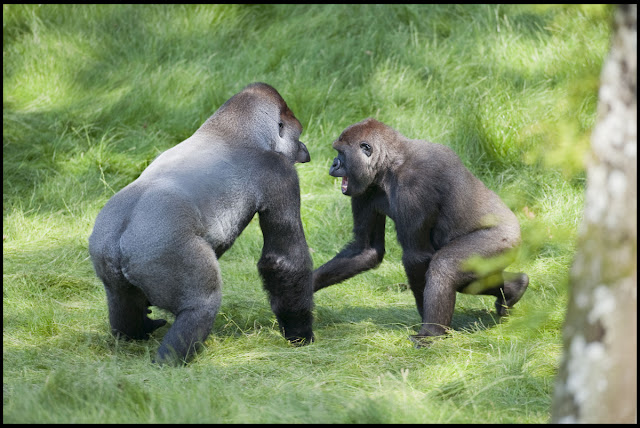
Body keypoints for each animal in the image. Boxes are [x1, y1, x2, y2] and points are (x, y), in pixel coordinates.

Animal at [90, 81, 316, 364]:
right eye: (298, 134)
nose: (305, 150)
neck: (230, 129)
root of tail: (118, 242)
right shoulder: (280, 172)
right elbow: (284, 260)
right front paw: (300, 333)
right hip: (163, 254)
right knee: (201, 304)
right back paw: (169, 361)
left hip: (104, 256)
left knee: (121, 302)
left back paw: (136, 332)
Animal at [312, 118, 528, 344]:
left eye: (341, 153)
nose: (333, 164)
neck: (391, 163)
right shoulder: (364, 189)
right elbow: (366, 249)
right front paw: (305, 286)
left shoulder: (413, 186)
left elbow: (416, 257)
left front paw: (427, 323)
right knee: (472, 280)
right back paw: (515, 287)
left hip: (504, 239)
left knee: (445, 266)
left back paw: (431, 333)